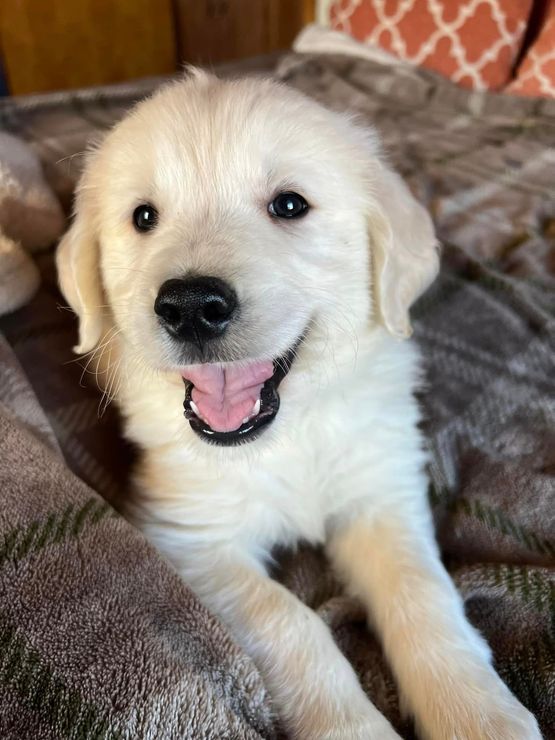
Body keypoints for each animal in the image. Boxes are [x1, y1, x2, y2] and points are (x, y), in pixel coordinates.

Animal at [57, 69, 544, 740]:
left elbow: (424, 591)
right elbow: (289, 618)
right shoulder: (190, 539)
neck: (289, 430)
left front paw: (479, 712)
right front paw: (353, 727)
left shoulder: (379, 491)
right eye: (144, 217)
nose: (190, 306)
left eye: (289, 205)